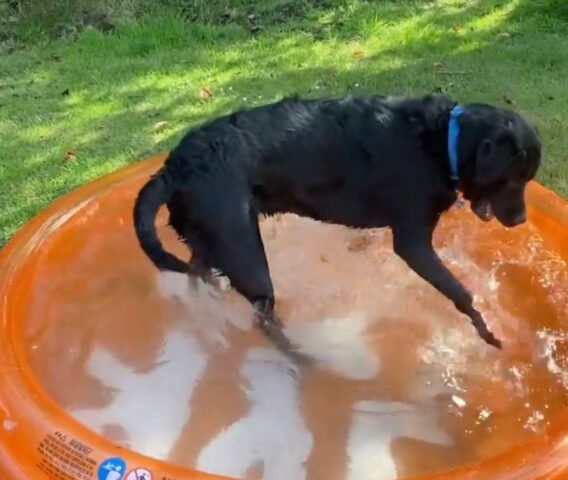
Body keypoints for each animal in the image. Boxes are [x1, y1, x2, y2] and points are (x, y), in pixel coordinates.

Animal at [132, 93, 540, 360]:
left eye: (526, 179)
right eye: (511, 178)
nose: (521, 219)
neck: (442, 141)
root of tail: (176, 165)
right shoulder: (413, 243)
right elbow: (462, 294)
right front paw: (488, 331)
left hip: (208, 241)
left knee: (199, 276)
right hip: (247, 257)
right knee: (263, 319)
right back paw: (303, 359)